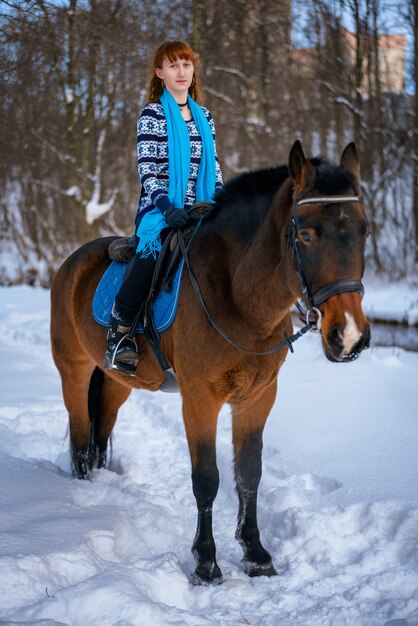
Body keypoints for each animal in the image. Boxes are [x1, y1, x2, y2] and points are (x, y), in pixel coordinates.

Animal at [50, 139, 370, 584]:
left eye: (364, 231)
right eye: (306, 235)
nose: (350, 336)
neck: (237, 296)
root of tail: (72, 262)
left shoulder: (258, 397)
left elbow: (249, 473)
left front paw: (256, 555)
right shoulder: (200, 399)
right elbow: (206, 478)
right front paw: (205, 563)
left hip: (115, 380)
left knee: (101, 430)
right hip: (74, 370)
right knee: (81, 433)